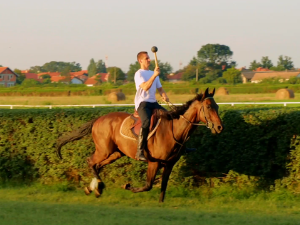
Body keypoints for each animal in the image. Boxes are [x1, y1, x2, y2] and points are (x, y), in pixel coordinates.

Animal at [57, 87, 224, 202]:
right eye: (208, 107)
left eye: (217, 106)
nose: (219, 127)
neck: (173, 131)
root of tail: (98, 119)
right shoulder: (153, 163)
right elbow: (148, 185)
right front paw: (128, 186)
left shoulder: (169, 164)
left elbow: (163, 186)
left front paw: (161, 204)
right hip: (104, 150)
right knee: (90, 161)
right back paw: (96, 187)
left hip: (116, 153)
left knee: (97, 165)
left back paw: (94, 188)